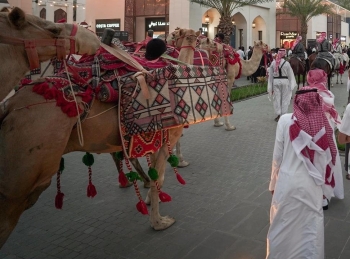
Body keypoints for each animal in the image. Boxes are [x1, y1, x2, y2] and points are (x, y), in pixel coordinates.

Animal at [0, 8, 202, 249]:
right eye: (190, 35)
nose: (203, 40)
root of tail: (9, 106)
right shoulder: (167, 138)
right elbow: (158, 179)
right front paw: (159, 221)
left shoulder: (153, 141)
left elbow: (153, 172)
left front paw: (148, 201)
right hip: (23, 178)